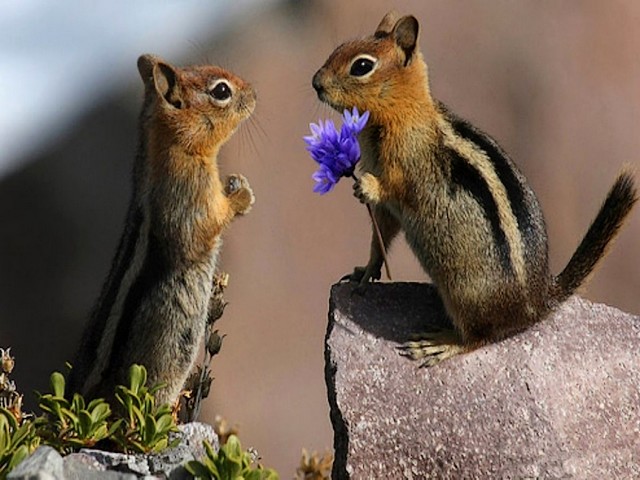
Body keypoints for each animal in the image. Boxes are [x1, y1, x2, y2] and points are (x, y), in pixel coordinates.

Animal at [67, 54, 256, 405]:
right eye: (221, 91)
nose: (253, 93)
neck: (175, 147)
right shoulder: (189, 195)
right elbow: (209, 223)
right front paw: (241, 196)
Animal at [312, 11, 638, 366]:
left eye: (361, 66)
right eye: (339, 48)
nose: (316, 82)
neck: (404, 113)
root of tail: (539, 302)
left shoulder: (408, 167)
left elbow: (395, 188)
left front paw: (367, 187)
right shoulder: (387, 213)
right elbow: (380, 236)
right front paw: (365, 271)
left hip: (464, 294)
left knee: (480, 337)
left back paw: (441, 344)